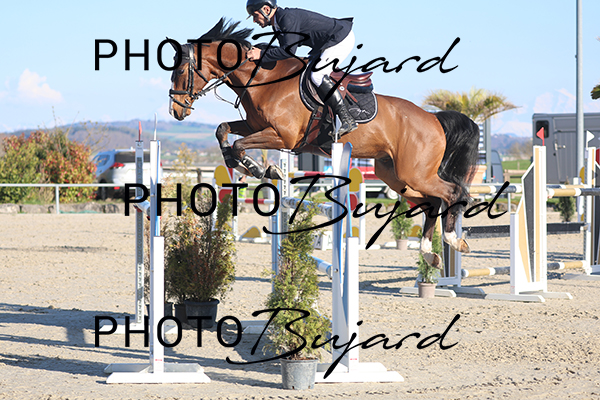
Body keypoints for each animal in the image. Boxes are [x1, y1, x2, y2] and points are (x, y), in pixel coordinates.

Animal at [168, 18, 480, 268]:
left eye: (180, 72)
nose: (176, 112)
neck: (265, 79)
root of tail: (433, 118)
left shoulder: (282, 136)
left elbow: (239, 144)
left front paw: (259, 169)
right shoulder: (256, 126)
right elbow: (223, 131)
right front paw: (248, 166)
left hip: (415, 172)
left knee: (452, 193)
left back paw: (453, 240)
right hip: (393, 174)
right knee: (431, 202)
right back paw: (429, 253)